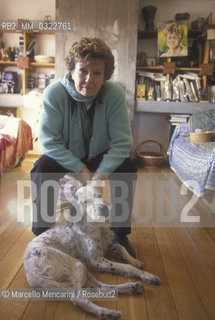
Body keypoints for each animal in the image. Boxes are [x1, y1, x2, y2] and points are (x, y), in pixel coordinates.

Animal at [24, 181, 160, 318]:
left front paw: (136, 263)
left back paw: (132, 288)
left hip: (83, 268)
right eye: (85, 202)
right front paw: (145, 274)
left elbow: (122, 248)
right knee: (79, 298)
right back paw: (106, 312)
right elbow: (126, 267)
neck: (98, 227)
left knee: (101, 287)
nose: (103, 208)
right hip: (77, 265)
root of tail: (32, 276)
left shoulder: (107, 246)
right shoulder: (96, 260)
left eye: (99, 196)